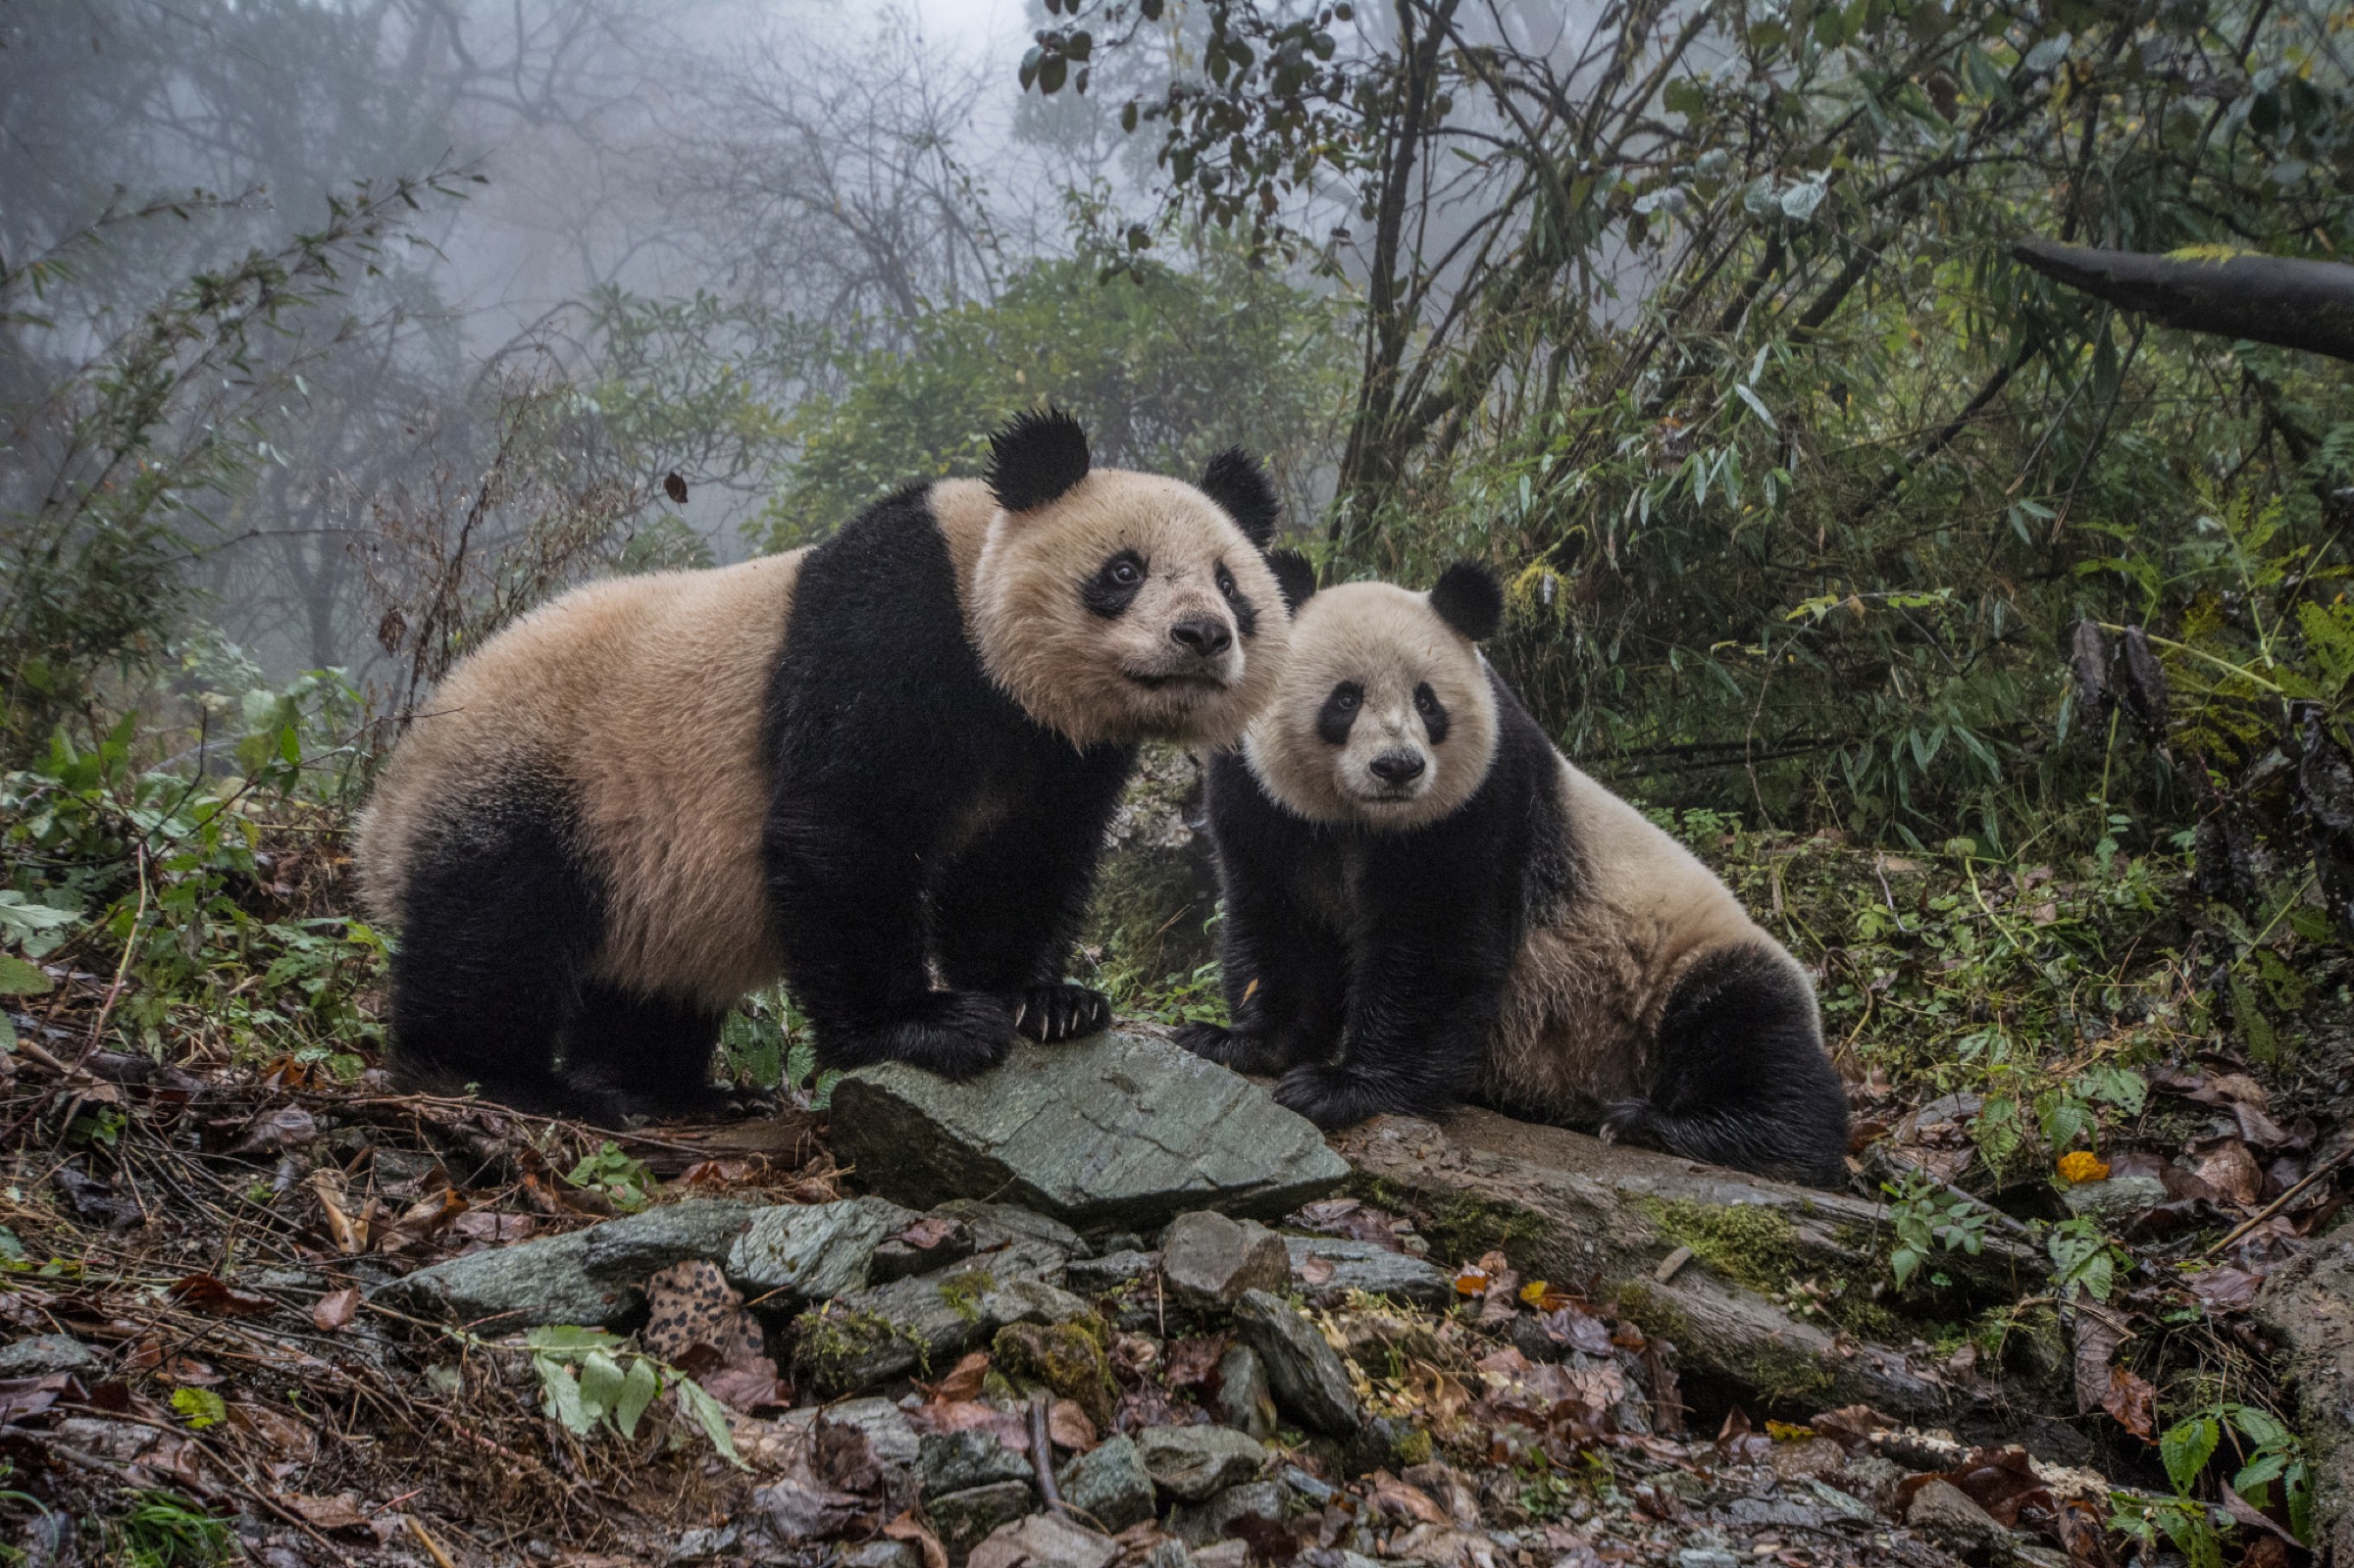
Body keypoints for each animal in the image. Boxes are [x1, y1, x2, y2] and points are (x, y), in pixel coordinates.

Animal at [355, 409, 1292, 1122]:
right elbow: (846, 824)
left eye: (1230, 584)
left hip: (641, 874)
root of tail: (387, 800)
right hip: (540, 776)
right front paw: (925, 1024)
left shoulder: (1057, 745)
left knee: (644, 984)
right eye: (1124, 570)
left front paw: (1048, 1002)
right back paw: (510, 1079)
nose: (1203, 634)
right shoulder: (891, 627)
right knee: (496, 932)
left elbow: (1019, 861)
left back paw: (671, 1089)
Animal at [1175, 560, 1851, 1188]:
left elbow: (1434, 941)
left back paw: (1670, 1125)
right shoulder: (1262, 801)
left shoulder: (1483, 796)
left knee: (1751, 1033)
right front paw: (1236, 1042)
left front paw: (1342, 1086)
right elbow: (1281, 922)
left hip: (1684, 964)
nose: (1398, 768)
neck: (1360, 820)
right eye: (1345, 698)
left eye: (1428, 702)